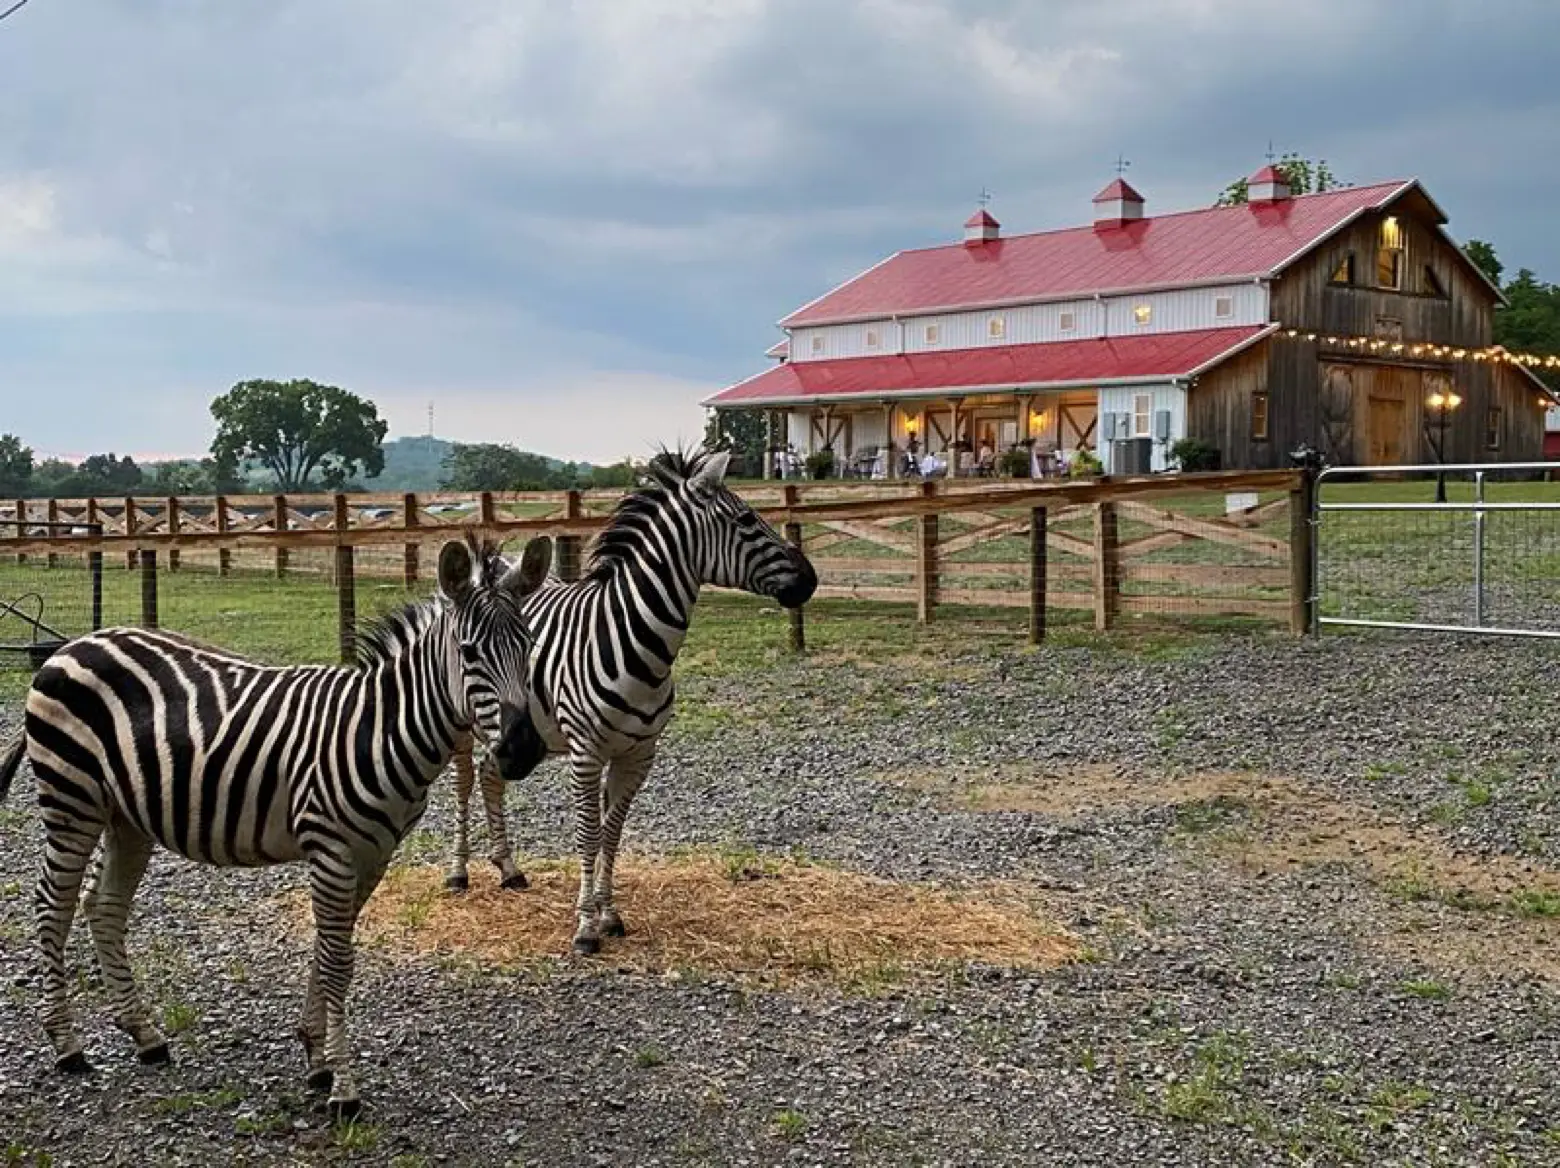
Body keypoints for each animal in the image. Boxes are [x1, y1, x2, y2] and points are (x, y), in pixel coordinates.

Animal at [0, 535, 551, 1121]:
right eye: (469, 653)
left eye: (530, 645)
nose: (523, 750)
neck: (380, 730)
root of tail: (74, 644)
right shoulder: (330, 848)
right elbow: (337, 961)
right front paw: (344, 1090)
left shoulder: (374, 853)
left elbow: (331, 948)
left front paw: (317, 1058)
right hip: (71, 800)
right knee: (52, 906)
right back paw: (67, 1046)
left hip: (126, 815)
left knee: (102, 906)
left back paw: (145, 1036)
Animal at [441, 446, 817, 955]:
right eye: (746, 520)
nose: (811, 580)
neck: (636, 646)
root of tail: (486, 569)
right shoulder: (586, 754)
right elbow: (588, 832)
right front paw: (585, 926)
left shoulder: (639, 755)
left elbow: (612, 834)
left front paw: (609, 914)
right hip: (463, 721)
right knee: (463, 781)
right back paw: (458, 871)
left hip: (510, 732)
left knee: (489, 774)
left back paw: (509, 868)